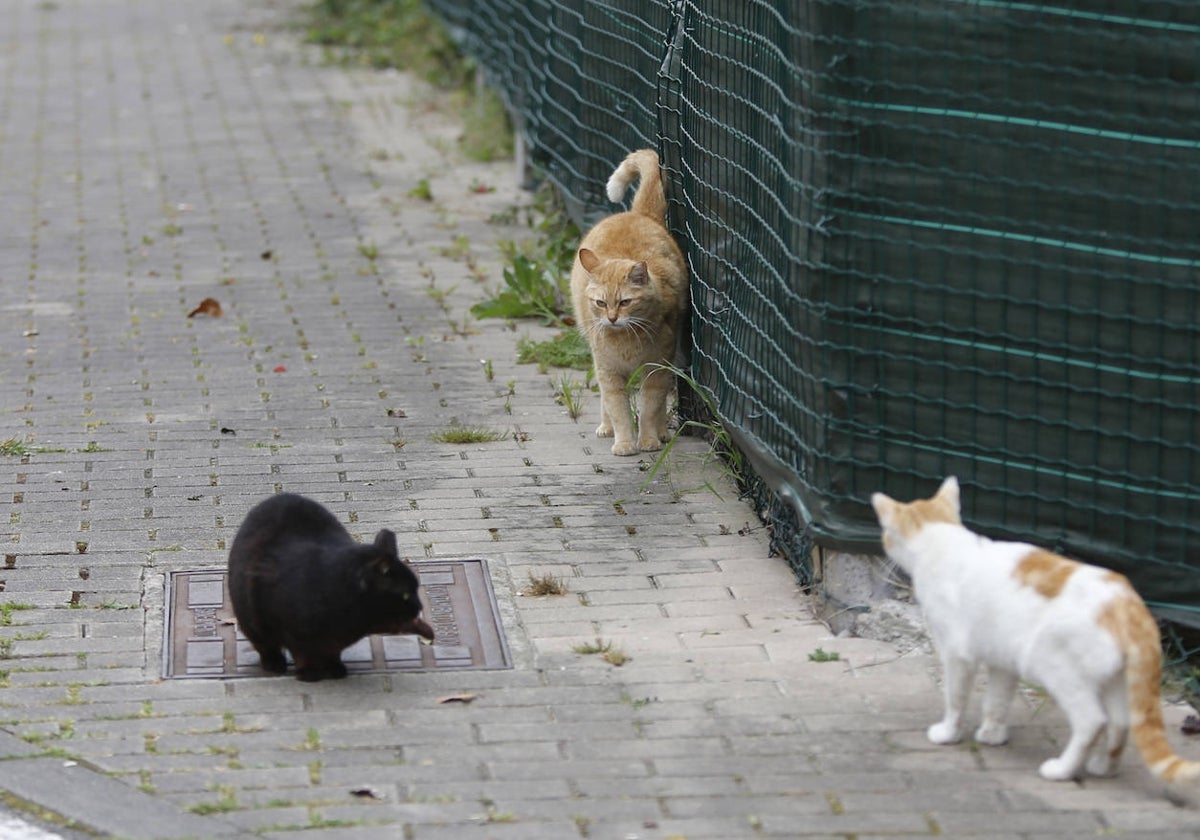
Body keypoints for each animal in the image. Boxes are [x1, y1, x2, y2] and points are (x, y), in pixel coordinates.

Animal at [226, 494, 434, 681]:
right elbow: (302, 654)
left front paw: (334, 667)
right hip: (250, 618)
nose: (420, 606)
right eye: (405, 594)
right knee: (265, 645)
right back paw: (274, 664)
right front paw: (308, 672)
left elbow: (332, 652)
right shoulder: (292, 632)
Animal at [568, 147, 686, 456]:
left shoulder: (656, 370)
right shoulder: (608, 373)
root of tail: (638, 214)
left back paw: (661, 434)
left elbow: (649, 409)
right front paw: (623, 442)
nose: (611, 318)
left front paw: (648, 440)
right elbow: (618, 408)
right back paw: (606, 427)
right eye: (600, 303)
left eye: (624, 302)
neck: (625, 340)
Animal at [873, 475, 1200, 782]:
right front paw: (992, 735)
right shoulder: (1002, 658)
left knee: (1093, 721)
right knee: (1121, 722)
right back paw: (1104, 767)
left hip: (1053, 664)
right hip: (1116, 680)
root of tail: (1128, 605)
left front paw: (948, 733)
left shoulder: (957, 655)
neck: (945, 542)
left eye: (887, 535)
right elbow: (997, 700)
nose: (883, 546)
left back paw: (1062, 769)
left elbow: (955, 698)